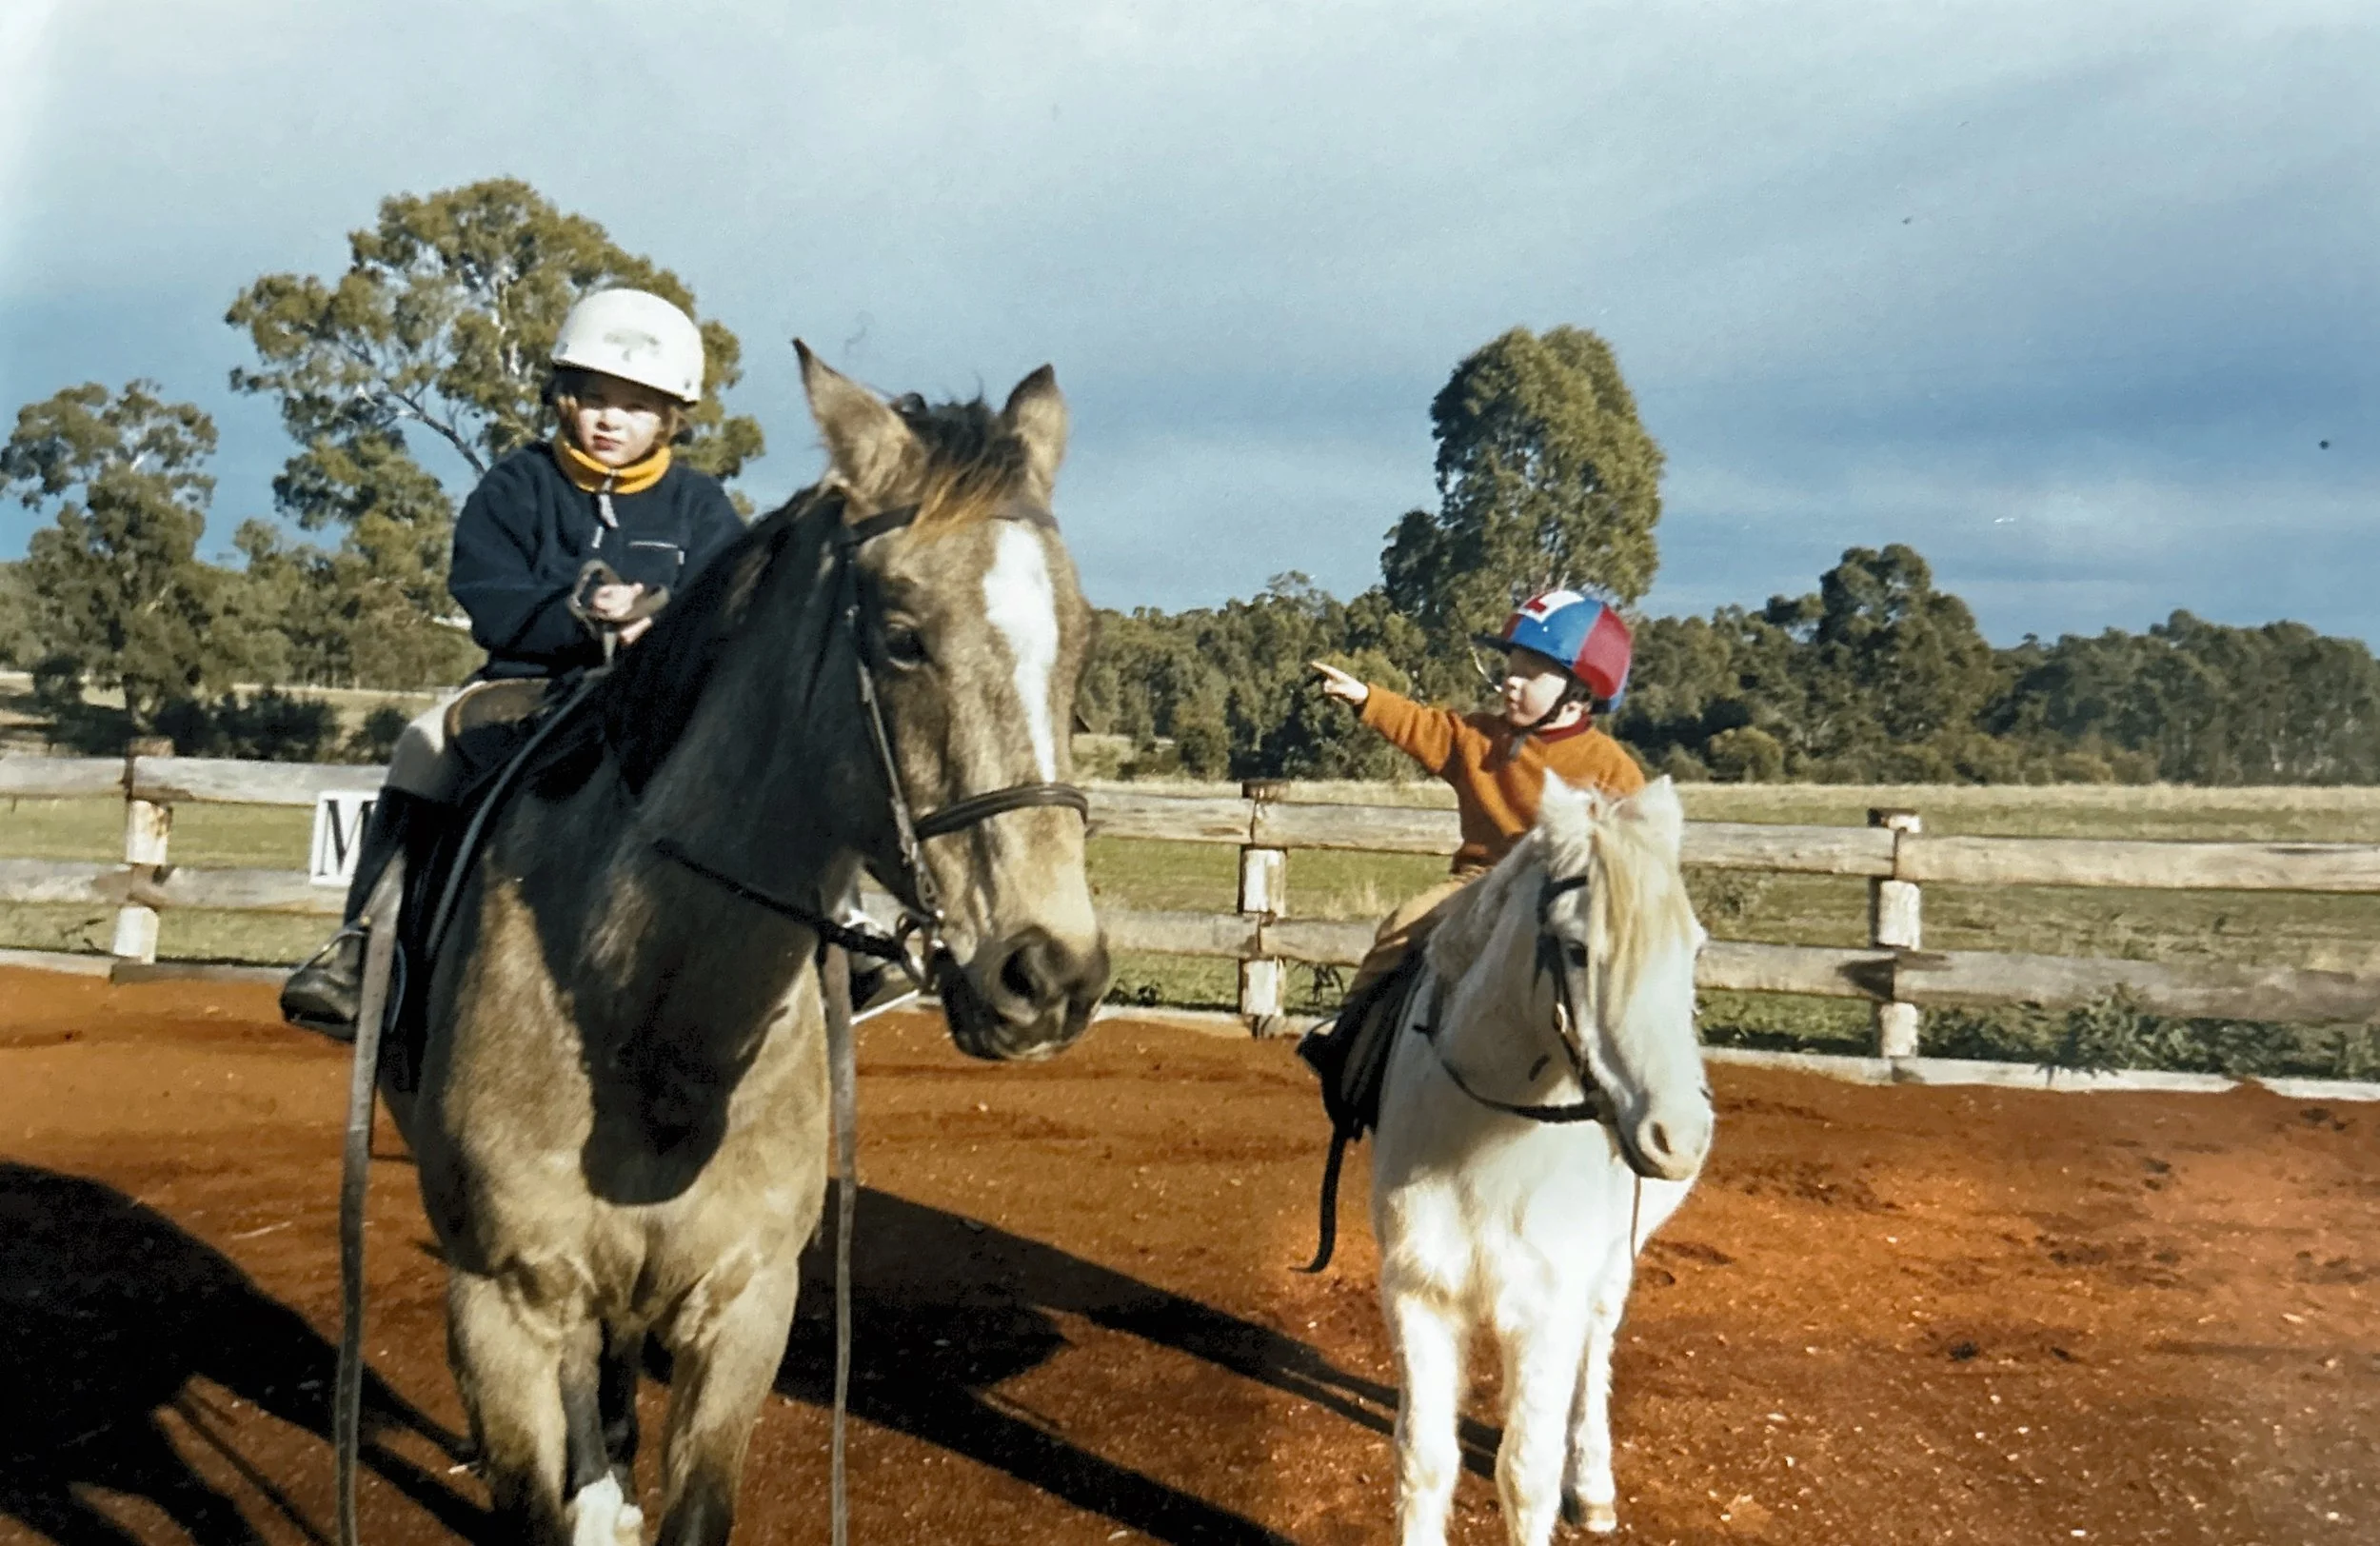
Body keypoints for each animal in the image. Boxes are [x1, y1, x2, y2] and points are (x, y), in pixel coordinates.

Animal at [374, 347, 1110, 1546]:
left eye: (1081, 644)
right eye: (899, 635)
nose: (1048, 973)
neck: (650, 1022)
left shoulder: (745, 1308)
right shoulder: (501, 1309)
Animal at [1369, 774, 1711, 1545]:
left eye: (1695, 949)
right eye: (1578, 949)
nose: (1680, 1136)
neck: (1485, 1133)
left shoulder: (1545, 1308)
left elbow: (1527, 1477)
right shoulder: (1420, 1293)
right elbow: (1422, 1459)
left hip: (1612, 1261)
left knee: (1596, 1345)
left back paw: (1593, 1484)